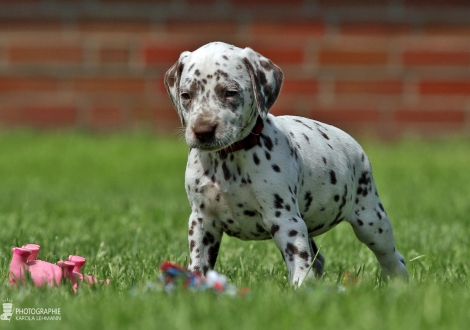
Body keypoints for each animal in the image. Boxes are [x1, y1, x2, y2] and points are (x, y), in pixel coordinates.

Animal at [165, 42, 408, 286]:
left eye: (230, 92)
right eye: (186, 95)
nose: (203, 131)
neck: (229, 160)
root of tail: (352, 143)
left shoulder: (285, 221)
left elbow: (299, 261)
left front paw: (300, 289)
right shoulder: (202, 222)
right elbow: (199, 261)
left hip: (370, 220)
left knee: (393, 257)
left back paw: (398, 283)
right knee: (318, 259)